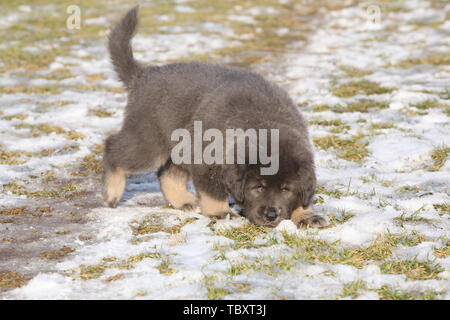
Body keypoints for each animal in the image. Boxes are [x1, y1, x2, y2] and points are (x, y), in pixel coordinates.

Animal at [102, 6, 326, 228]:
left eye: (286, 189)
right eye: (258, 187)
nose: (271, 215)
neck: (264, 122)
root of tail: (142, 76)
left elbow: (303, 197)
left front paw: (306, 215)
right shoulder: (206, 160)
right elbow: (213, 192)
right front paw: (221, 213)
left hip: (179, 145)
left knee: (167, 174)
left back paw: (183, 201)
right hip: (150, 142)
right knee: (114, 148)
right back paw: (112, 193)